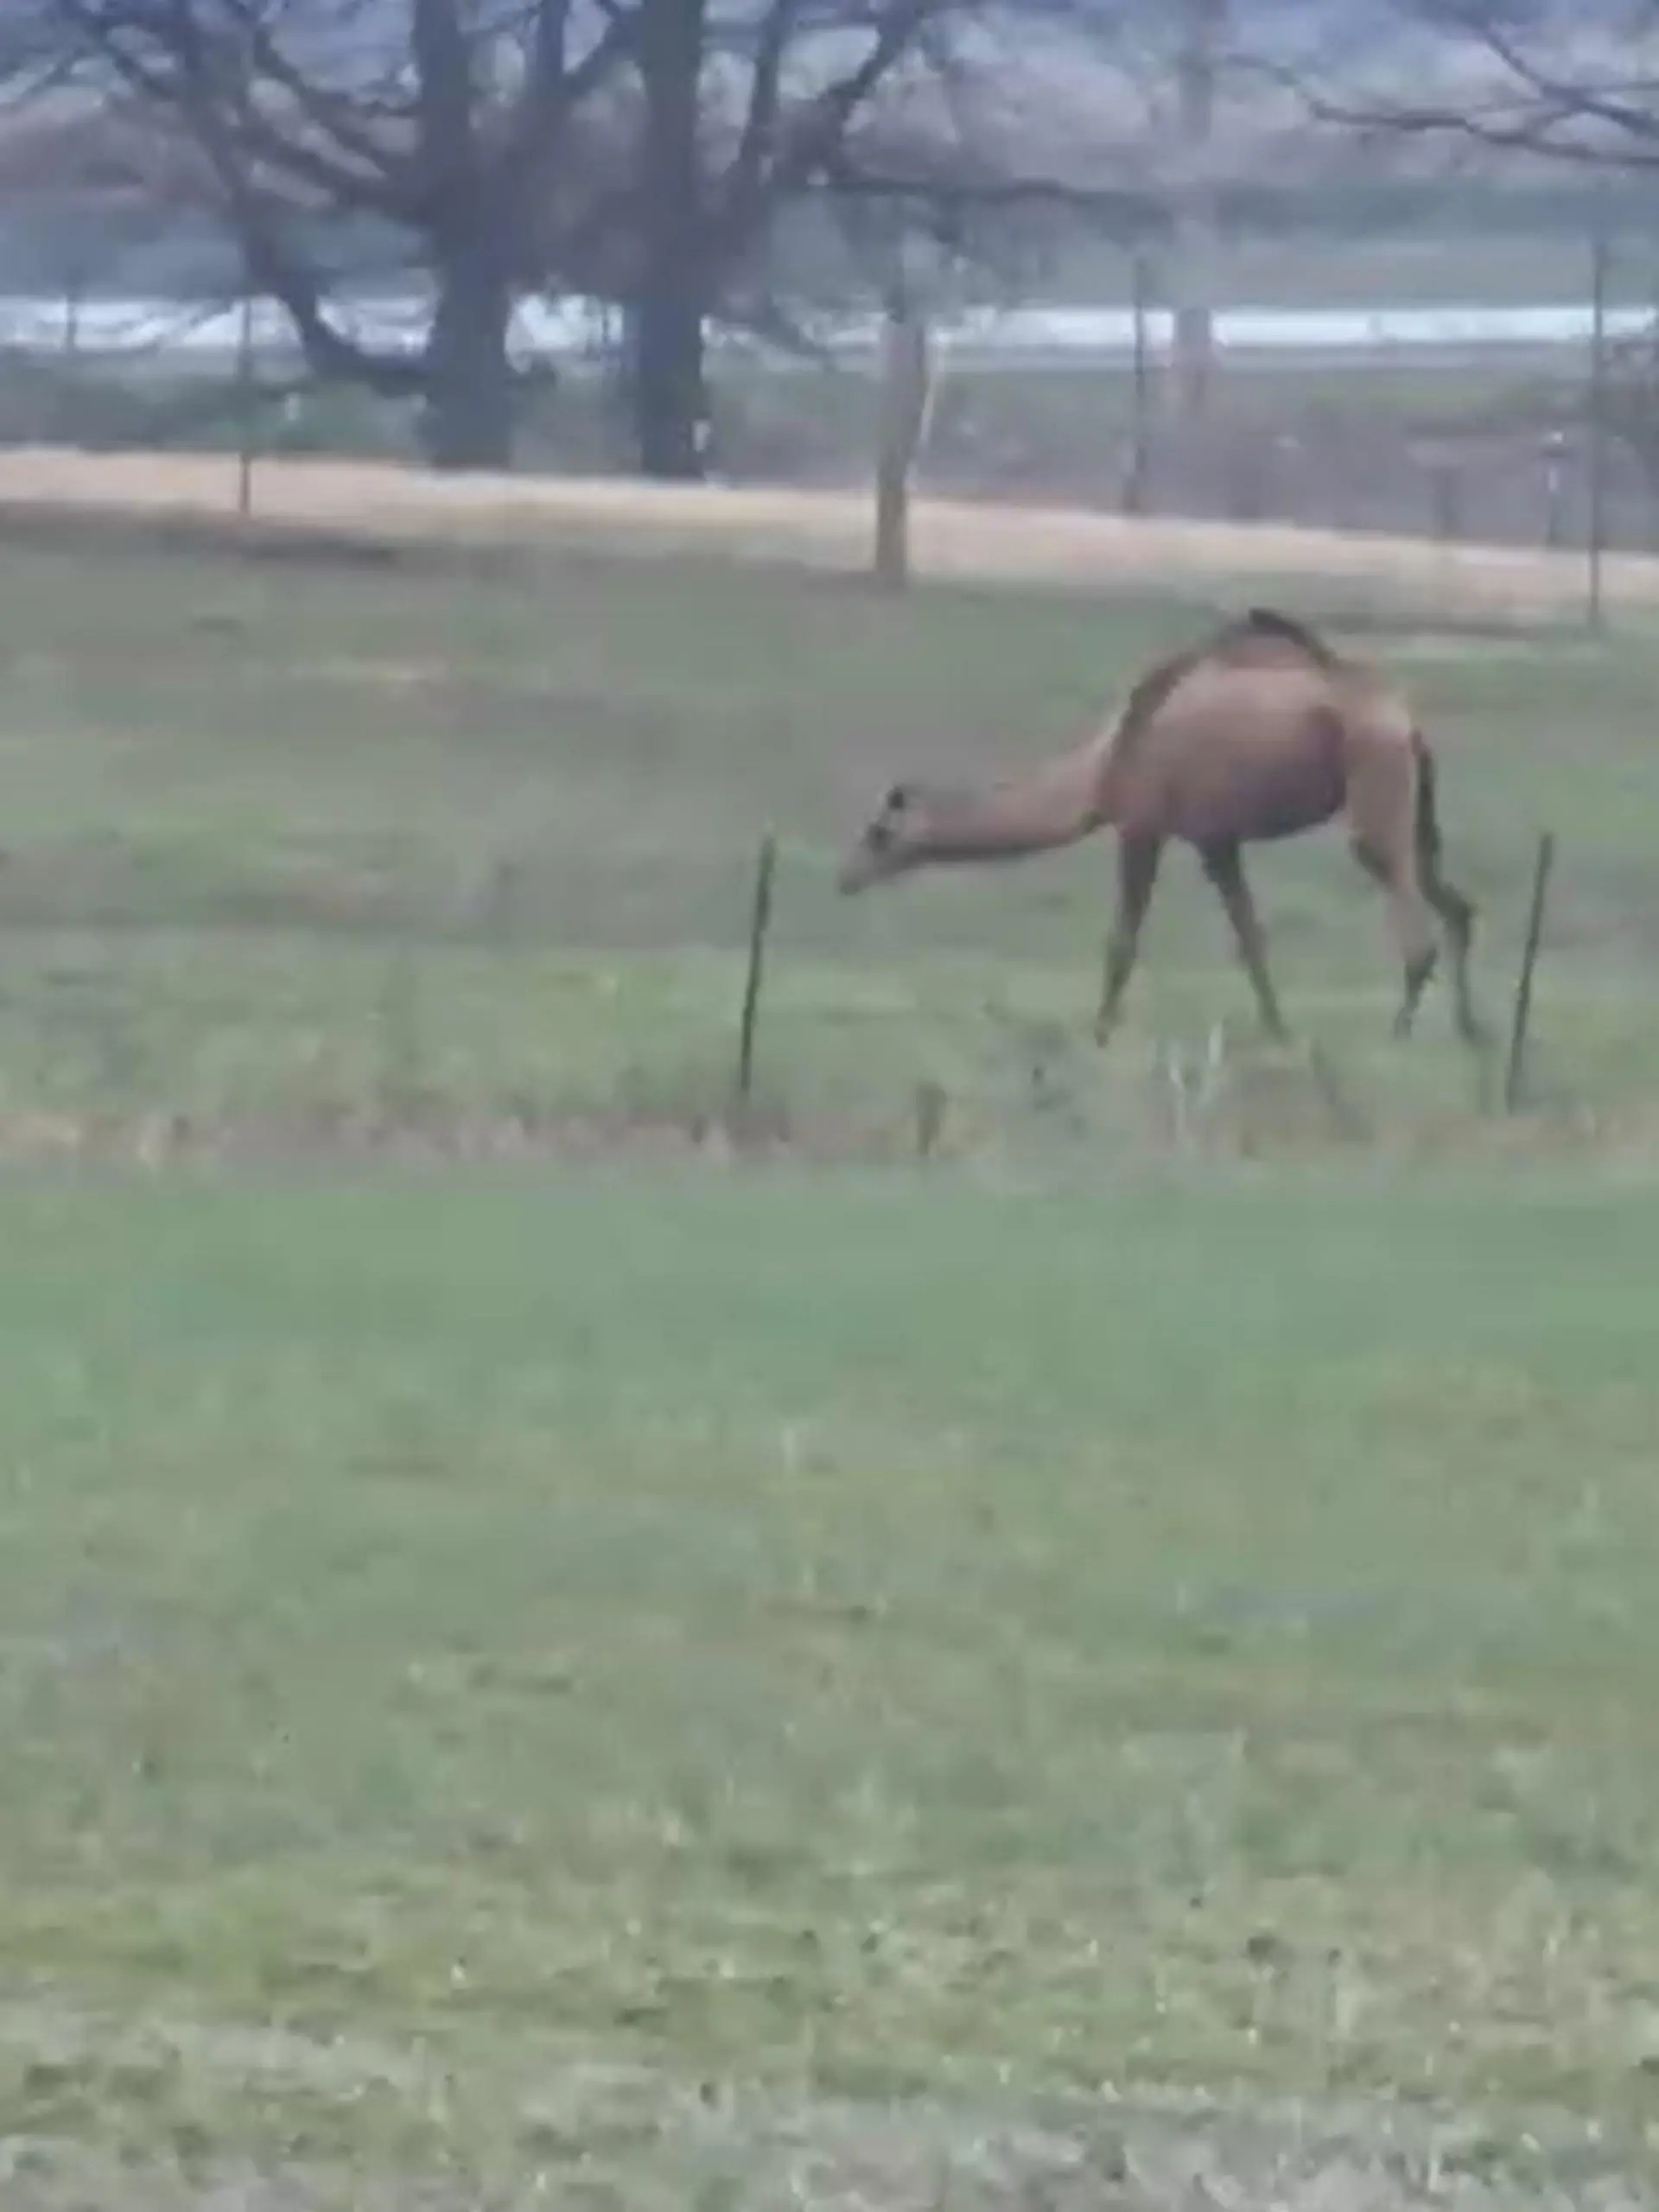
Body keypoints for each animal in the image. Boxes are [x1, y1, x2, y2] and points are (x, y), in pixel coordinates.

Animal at [837, 605, 1485, 1049]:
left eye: (879, 832)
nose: (846, 878)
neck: (1109, 760)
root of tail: (1406, 723)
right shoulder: (1217, 840)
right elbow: (1251, 938)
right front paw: (1279, 1032)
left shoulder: (1143, 825)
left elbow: (1122, 941)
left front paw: (1099, 1034)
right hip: (1414, 801)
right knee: (1457, 904)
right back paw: (1471, 1032)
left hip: (1376, 776)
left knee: (1413, 920)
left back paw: (1399, 1036)